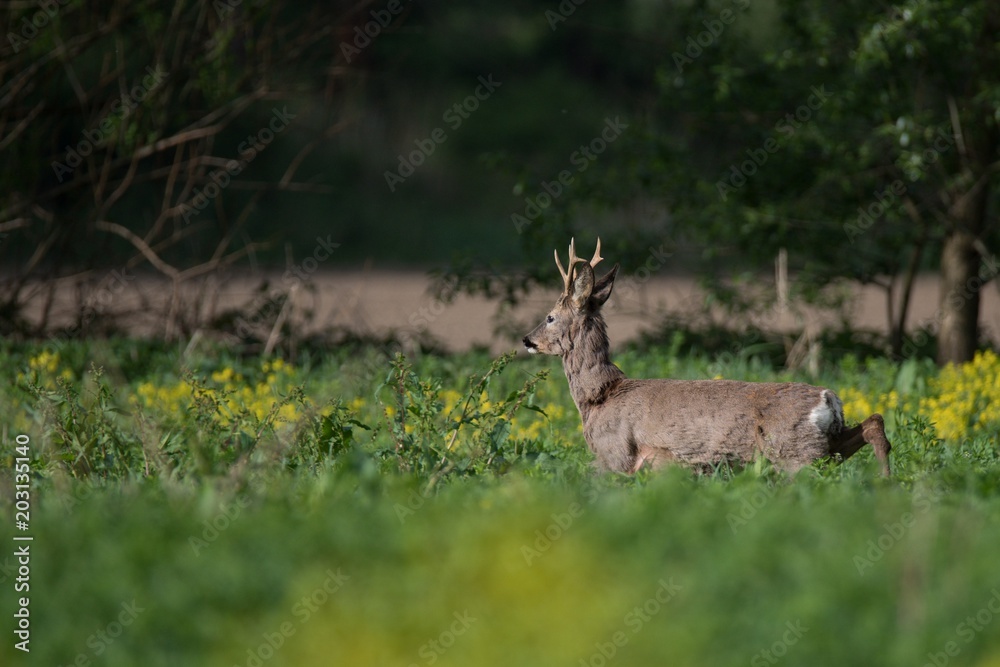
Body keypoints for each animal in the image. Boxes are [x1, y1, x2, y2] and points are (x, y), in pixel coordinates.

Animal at [522, 238, 892, 476]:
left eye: (550, 317)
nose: (526, 340)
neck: (600, 395)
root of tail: (828, 399)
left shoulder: (616, 456)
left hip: (795, 452)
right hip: (825, 446)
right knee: (873, 424)